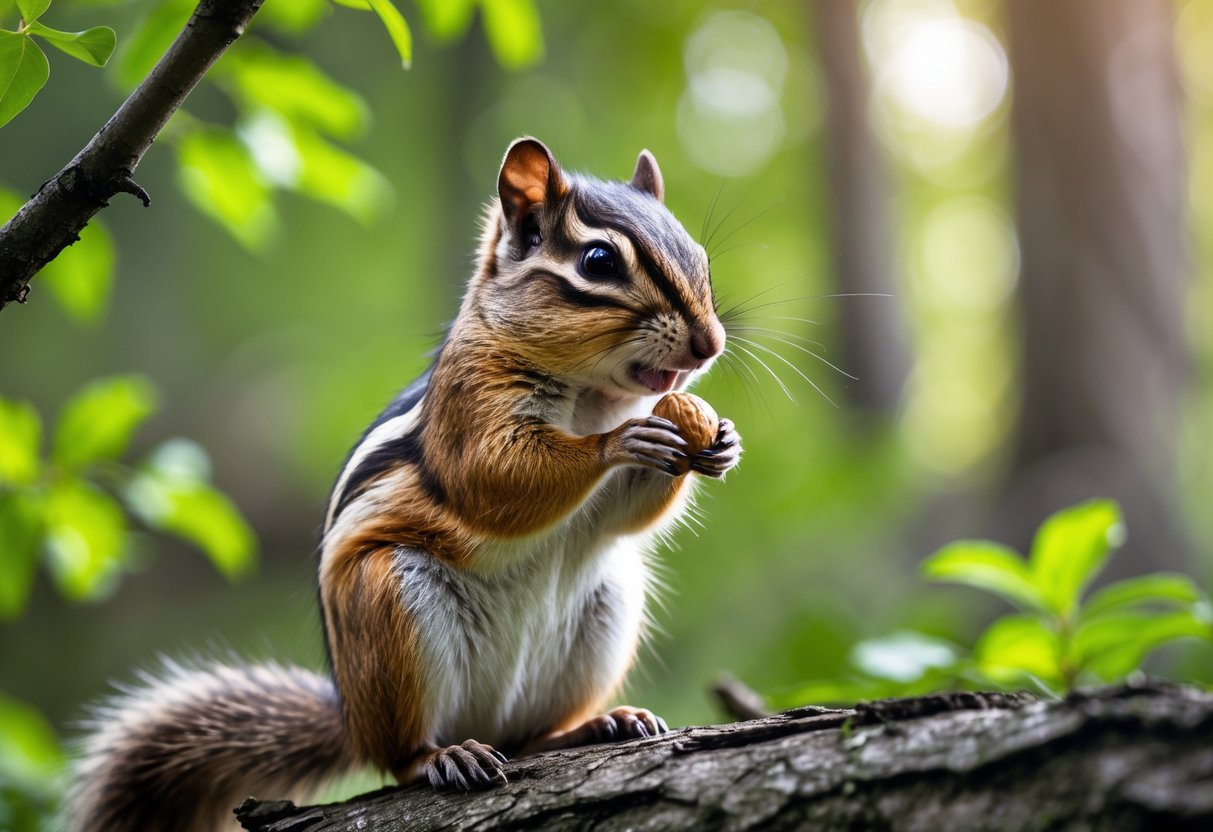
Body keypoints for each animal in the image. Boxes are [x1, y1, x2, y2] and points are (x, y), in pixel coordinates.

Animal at [67, 137, 741, 832]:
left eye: (698, 254)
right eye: (599, 261)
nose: (710, 342)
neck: (593, 396)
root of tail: (354, 723)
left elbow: (621, 517)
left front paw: (719, 442)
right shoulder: (470, 411)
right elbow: (495, 479)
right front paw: (621, 443)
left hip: (608, 603)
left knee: (530, 737)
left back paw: (599, 724)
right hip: (389, 606)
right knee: (401, 757)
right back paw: (445, 756)